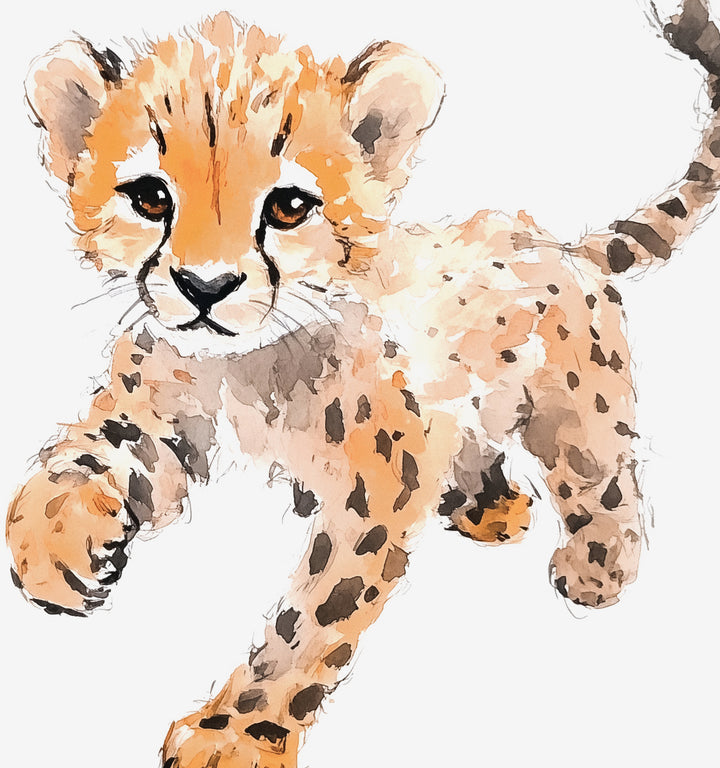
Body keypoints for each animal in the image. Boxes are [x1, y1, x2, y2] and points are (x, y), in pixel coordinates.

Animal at [7, 1, 720, 765]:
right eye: (148, 197)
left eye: (289, 207)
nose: (205, 286)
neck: (246, 366)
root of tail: (555, 240)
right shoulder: (158, 412)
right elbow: (76, 461)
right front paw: (55, 551)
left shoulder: (380, 484)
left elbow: (313, 618)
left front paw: (237, 734)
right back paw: (489, 505)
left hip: (575, 408)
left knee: (602, 473)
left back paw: (597, 568)